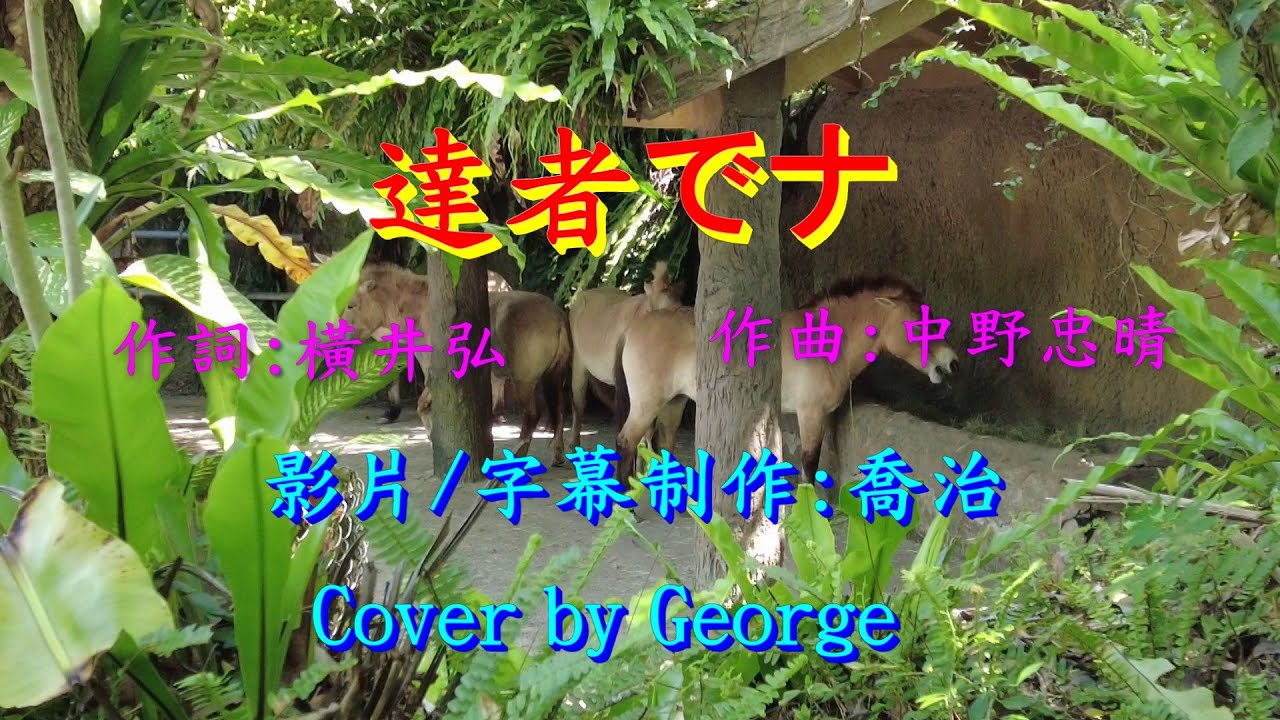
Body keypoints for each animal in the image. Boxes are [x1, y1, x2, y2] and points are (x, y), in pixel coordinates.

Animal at [343, 263, 573, 466]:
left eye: (351, 305)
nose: (341, 337)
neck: (420, 310)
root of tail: (557, 316)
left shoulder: (434, 374)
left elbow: (422, 406)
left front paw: (433, 438)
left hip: (524, 381)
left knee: (532, 416)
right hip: (554, 376)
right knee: (560, 410)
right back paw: (557, 454)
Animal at [612, 274, 960, 485]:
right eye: (920, 326)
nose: (951, 362)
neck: (823, 339)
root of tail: (635, 326)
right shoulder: (810, 414)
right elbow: (810, 461)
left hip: (673, 404)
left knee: (661, 446)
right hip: (648, 404)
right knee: (626, 441)